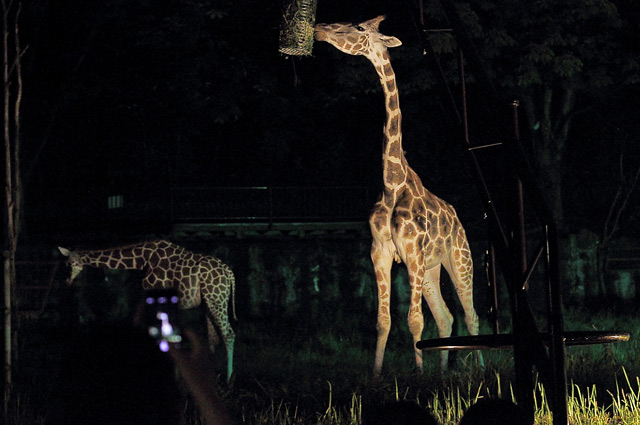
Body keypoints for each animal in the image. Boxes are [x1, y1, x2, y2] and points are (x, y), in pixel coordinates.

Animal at [58, 238, 235, 380]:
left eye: (70, 264)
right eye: (66, 264)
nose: (67, 282)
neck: (141, 260)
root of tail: (229, 272)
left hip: (216, 299)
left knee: (228, 334)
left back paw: (228, 381)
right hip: (208, 303)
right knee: (213, 337)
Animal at [316, 14, 480, 372]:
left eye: (358, 28)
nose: (318, 30)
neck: (392, 183)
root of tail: (459, 221)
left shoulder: (412, 252)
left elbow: (415, 321)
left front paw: (418, 375)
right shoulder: (381, 251)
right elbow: (384, 321)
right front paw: (376, 377)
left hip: (459, 259)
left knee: (471, 314)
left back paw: (479, 369)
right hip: (431, 268)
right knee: (446, 317)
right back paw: (444, 374)